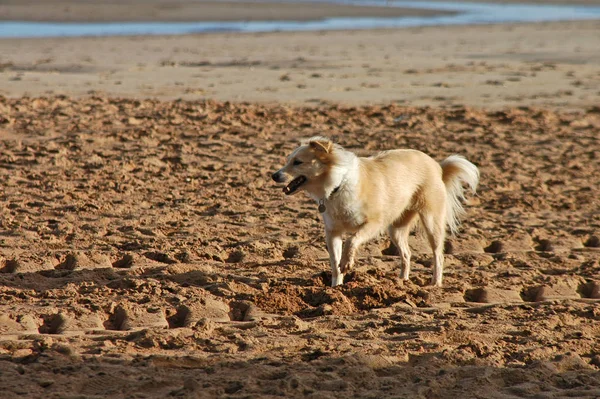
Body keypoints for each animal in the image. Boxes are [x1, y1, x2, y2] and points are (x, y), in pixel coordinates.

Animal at [272, 137, 478, 288]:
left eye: (297, 162)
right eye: (288, 161)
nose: (274, 175)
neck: (338, 185)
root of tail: (437, 166)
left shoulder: (373, 224)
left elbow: (351, 240)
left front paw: (347, 263)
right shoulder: (332, 232)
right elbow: (334, 262)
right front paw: (336, 287)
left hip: (430, 221)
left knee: (438, 254)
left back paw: (435, 283)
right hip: (396, 229)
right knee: (407, 254)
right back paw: (402, 281)